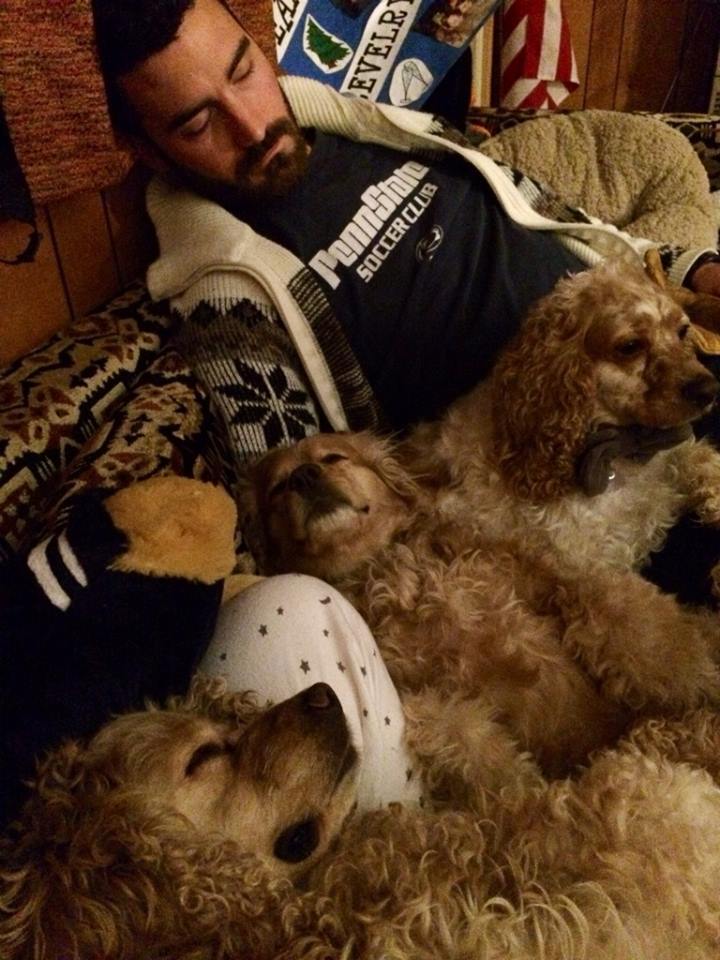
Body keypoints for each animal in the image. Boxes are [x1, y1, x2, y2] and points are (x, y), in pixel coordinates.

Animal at [240, 259, 720, 776]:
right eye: (629, 346)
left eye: (683, 331)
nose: (708, 387)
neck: (614, 456)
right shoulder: (581, 566)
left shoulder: (665, 475)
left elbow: (698, 461)